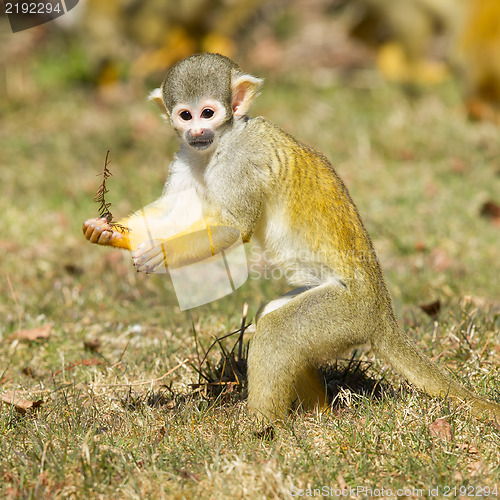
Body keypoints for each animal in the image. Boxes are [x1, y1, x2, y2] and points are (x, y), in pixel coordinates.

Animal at [83, 53, 500, 422]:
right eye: (185, 115)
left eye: (208, 113)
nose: (196, 132)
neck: (221, 142)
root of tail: (384, 315)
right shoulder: (187, 155)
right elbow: (175, 212)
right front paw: (109, 233)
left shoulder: (242, 160)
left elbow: (233, 226)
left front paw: (161, 255)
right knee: (273, 318)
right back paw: (316, 412)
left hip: (346, 312)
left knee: (278, 331)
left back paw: (260, 426)